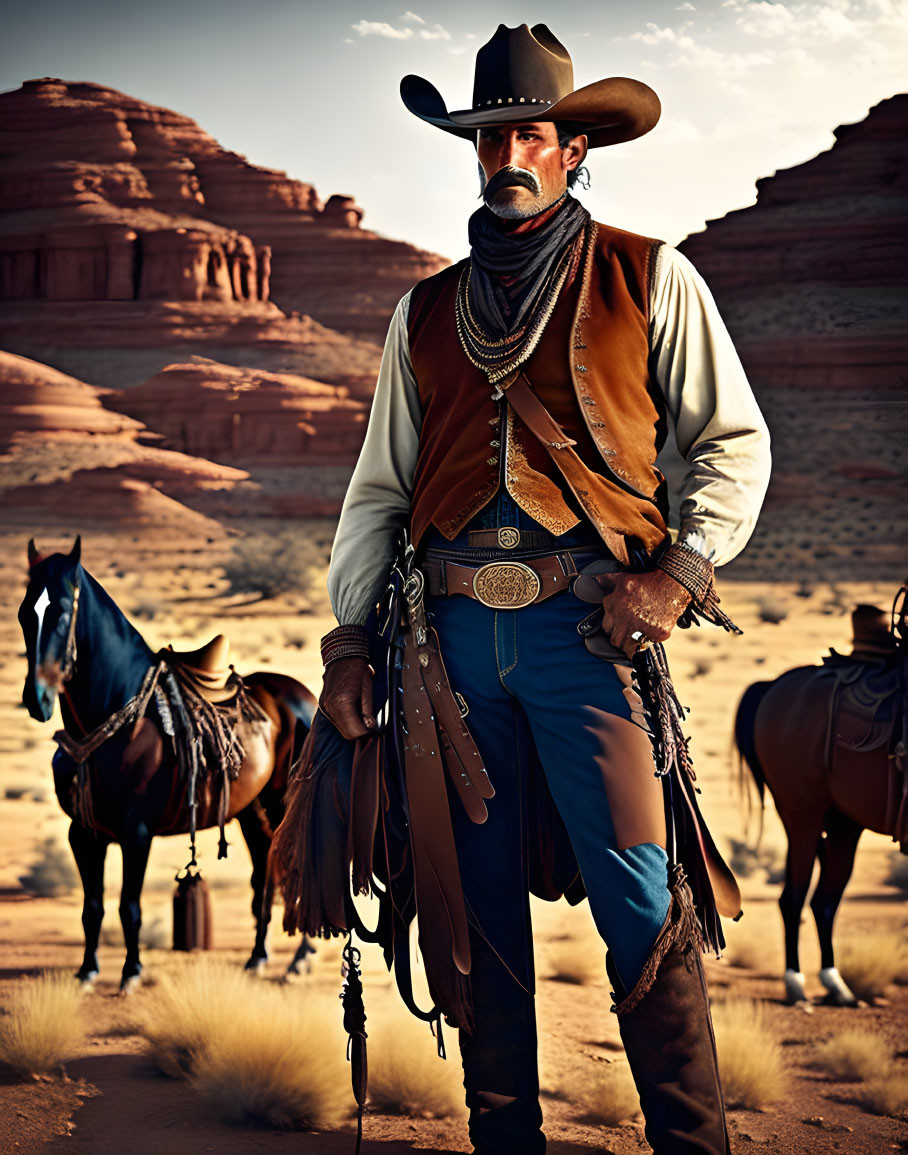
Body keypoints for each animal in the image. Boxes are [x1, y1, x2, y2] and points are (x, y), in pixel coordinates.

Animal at [18, 535, 318, 988]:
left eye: (63, 611)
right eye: (24, 613)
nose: (37, 699)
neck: (114, 723)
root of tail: (307, 699)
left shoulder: (136, 834)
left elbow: (129, 907)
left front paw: (131, 972)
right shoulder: (82, 834)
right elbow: (92, 908)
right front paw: (88, 970)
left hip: (286, 804)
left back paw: (299, 958)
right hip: (253, 811)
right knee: (264, 874)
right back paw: (258, 956)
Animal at [730, 600, 901, 1007]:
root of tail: (773, 685)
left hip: (842, 823)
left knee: (824, 901)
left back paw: (837, 985)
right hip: (802, 814)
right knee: (793, 898)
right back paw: (796, 984)